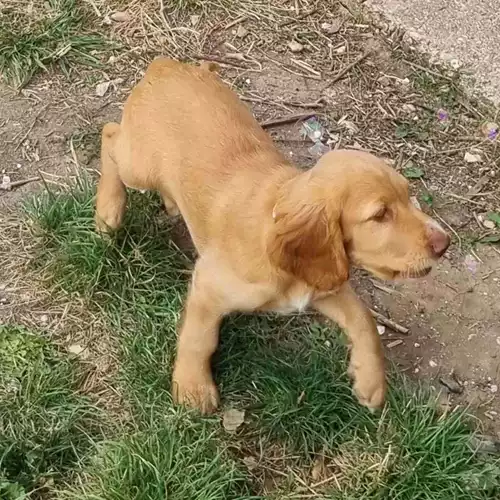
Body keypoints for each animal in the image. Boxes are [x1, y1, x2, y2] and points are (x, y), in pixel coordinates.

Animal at [94, 56, 450, 412]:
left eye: (408, 196)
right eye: (380, 215)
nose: (444, 243)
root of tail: (166, 65)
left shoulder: (323, 284)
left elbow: (364, 320)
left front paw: (370, 381)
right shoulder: (208, 285)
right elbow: (200, 338)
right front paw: (193, 388)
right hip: (141, 167)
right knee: (110, 134)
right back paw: (108, 213)